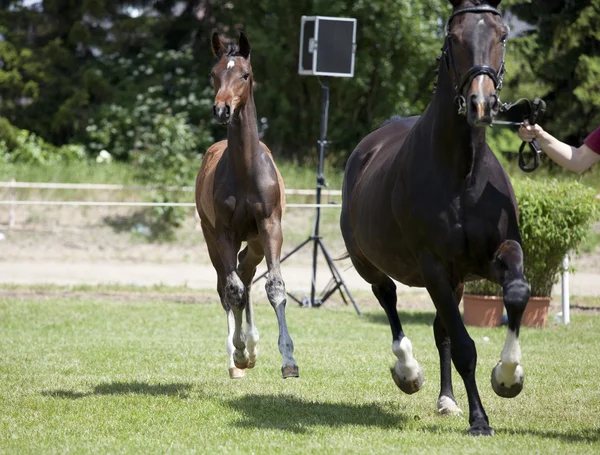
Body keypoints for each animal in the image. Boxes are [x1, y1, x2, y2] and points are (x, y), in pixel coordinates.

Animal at [196, 32, 298, 380]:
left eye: (245, 74)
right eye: (214, 73)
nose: (222, 109)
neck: (245, 171)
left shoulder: (270, 228)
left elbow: (275, 287)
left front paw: (288, 360)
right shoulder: (224, 233)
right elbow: (233, 290)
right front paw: (239, 353)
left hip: (253, 242)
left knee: (246, 272)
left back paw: (252, 345)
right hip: (211, 238)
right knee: (228, 285)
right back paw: (237, 357)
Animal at [342, 0, 528, 434]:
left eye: (503, 34)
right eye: (452, 37)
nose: (481, 103)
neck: (462, 174)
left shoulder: (492, 255)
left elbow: (516, 292)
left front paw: (508, 376)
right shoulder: (434, 267)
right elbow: (464, 347)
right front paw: (480, 420)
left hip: (456, 280)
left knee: (440, 329)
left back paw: (447, 400)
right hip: (368, 262)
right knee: (388, 297)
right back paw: (408, 371)